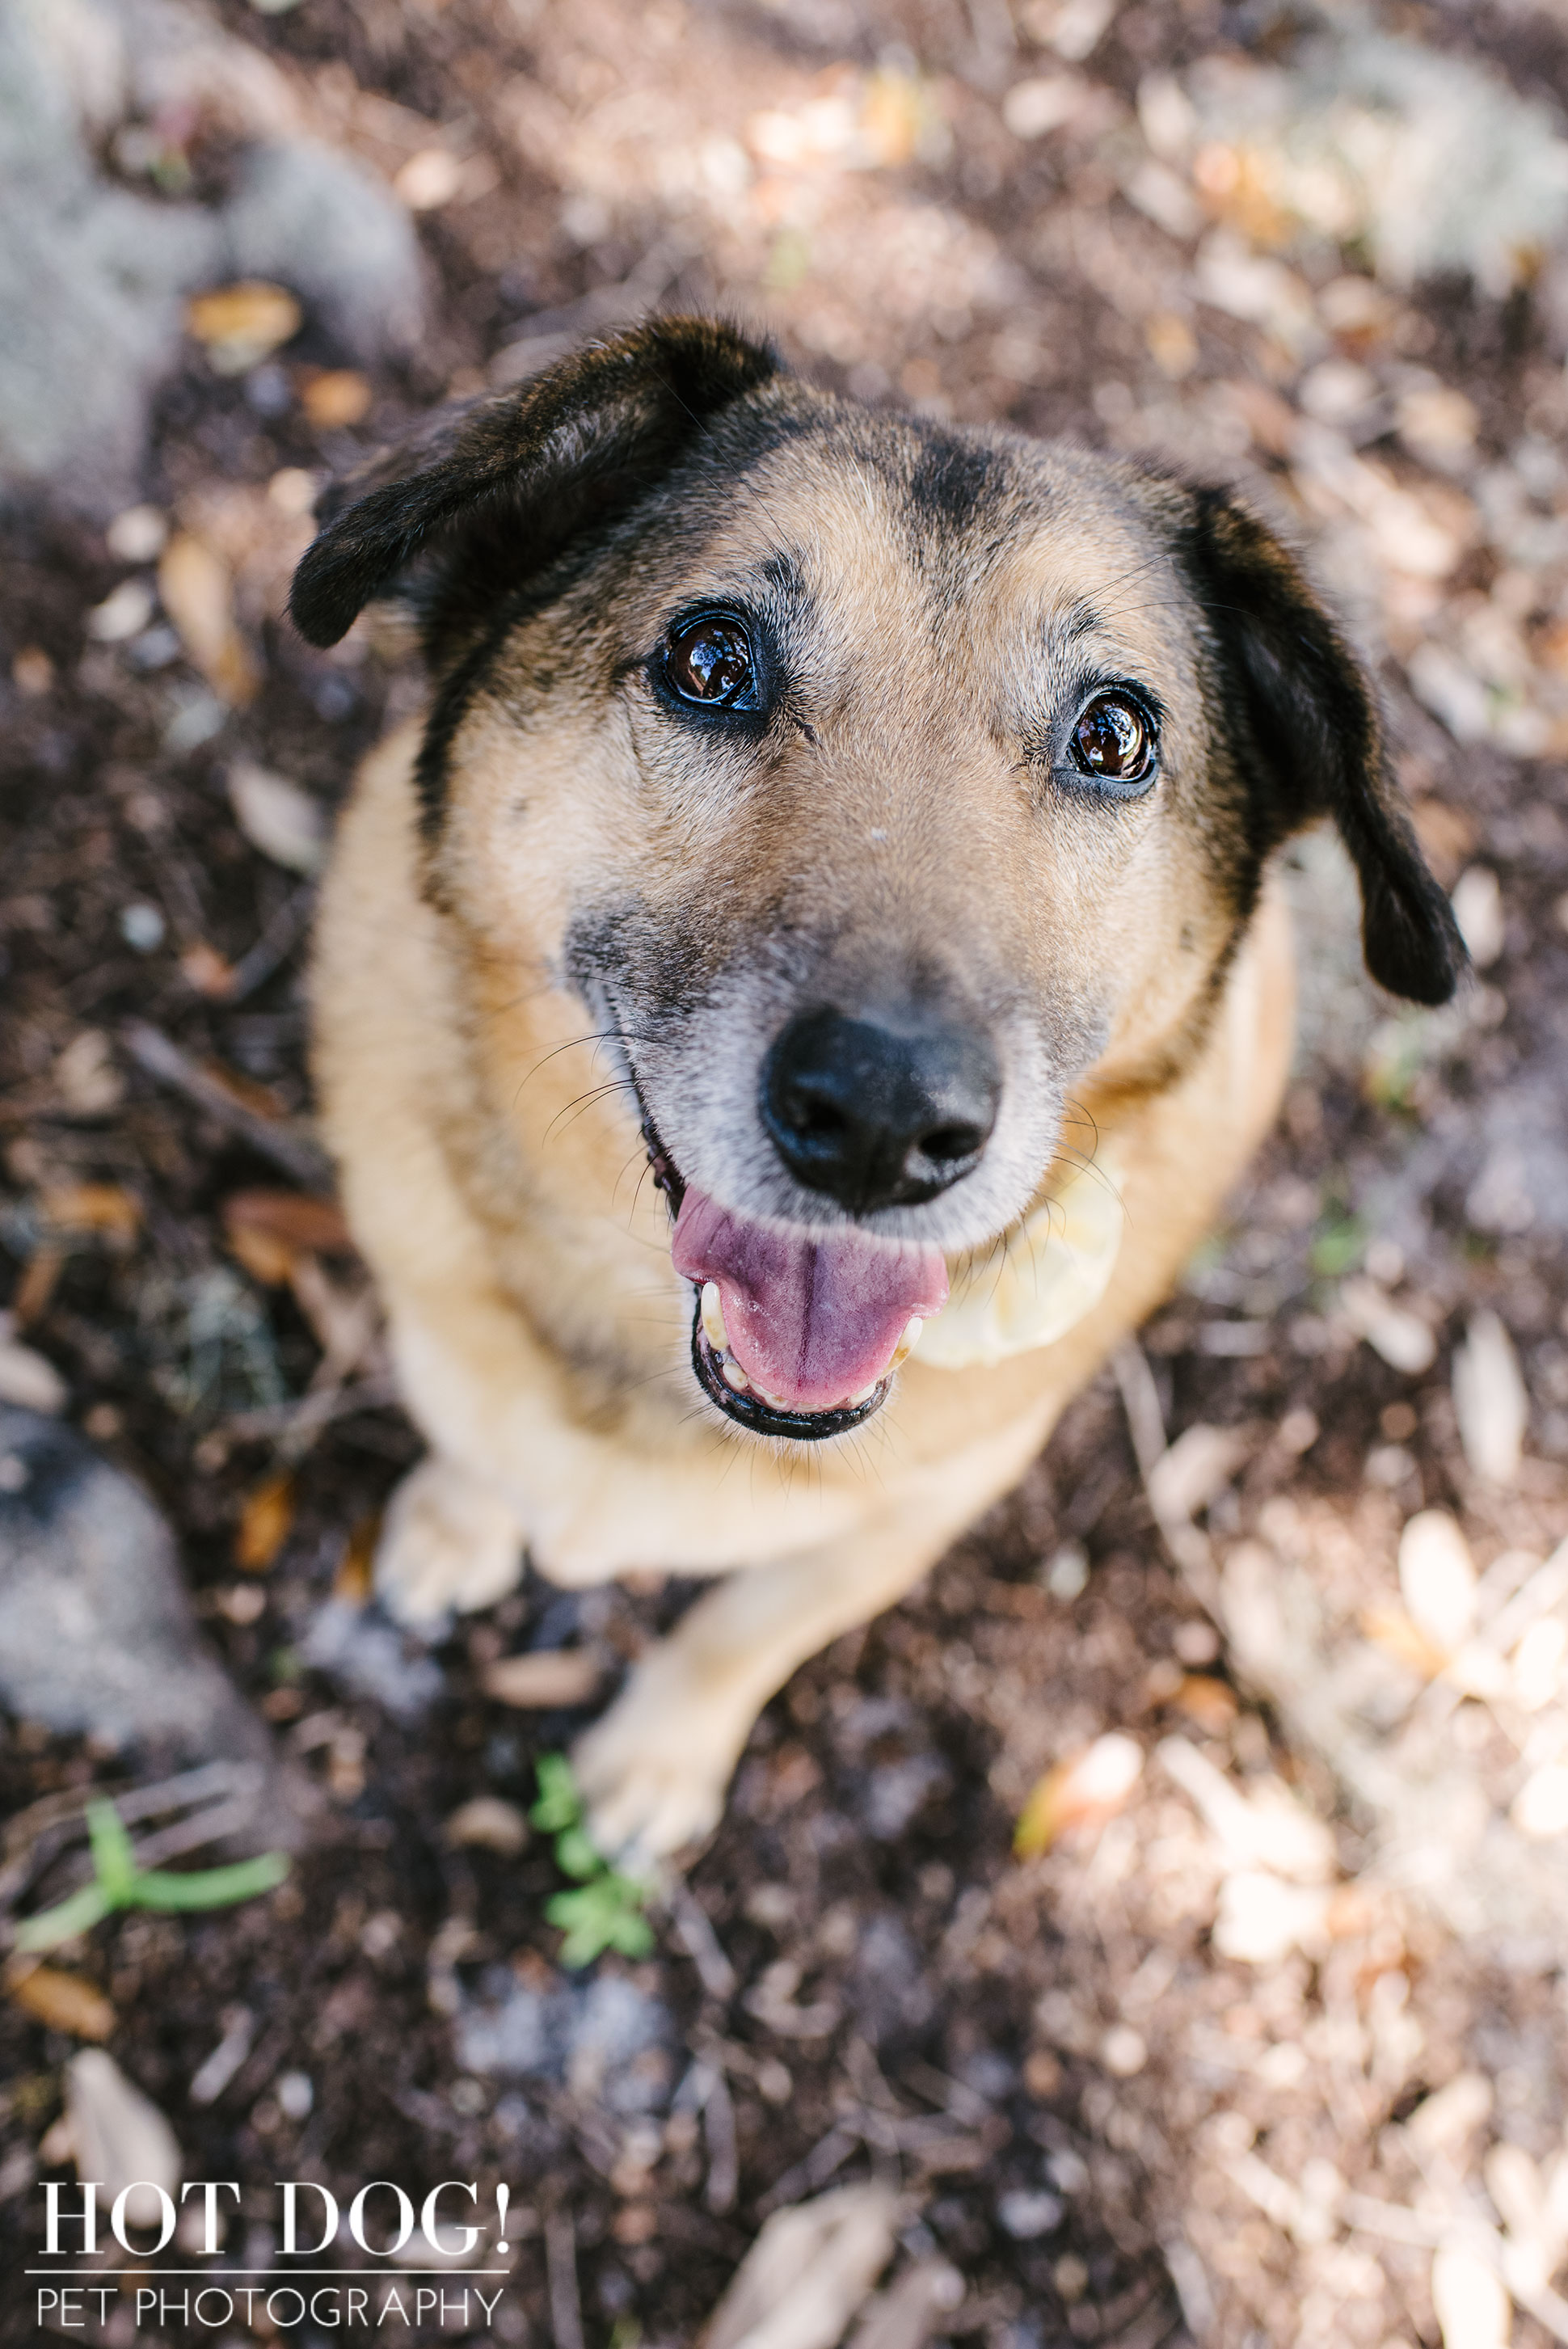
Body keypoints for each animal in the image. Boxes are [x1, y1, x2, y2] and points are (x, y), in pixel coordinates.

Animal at [287, 317, 1465, 1870]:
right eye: (710, 658)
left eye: (1114, 736)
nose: (884, 1121)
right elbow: (479, 1437)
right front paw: (456, 1521)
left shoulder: (919, 1508)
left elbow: (750, 1623)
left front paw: (658, 1759)